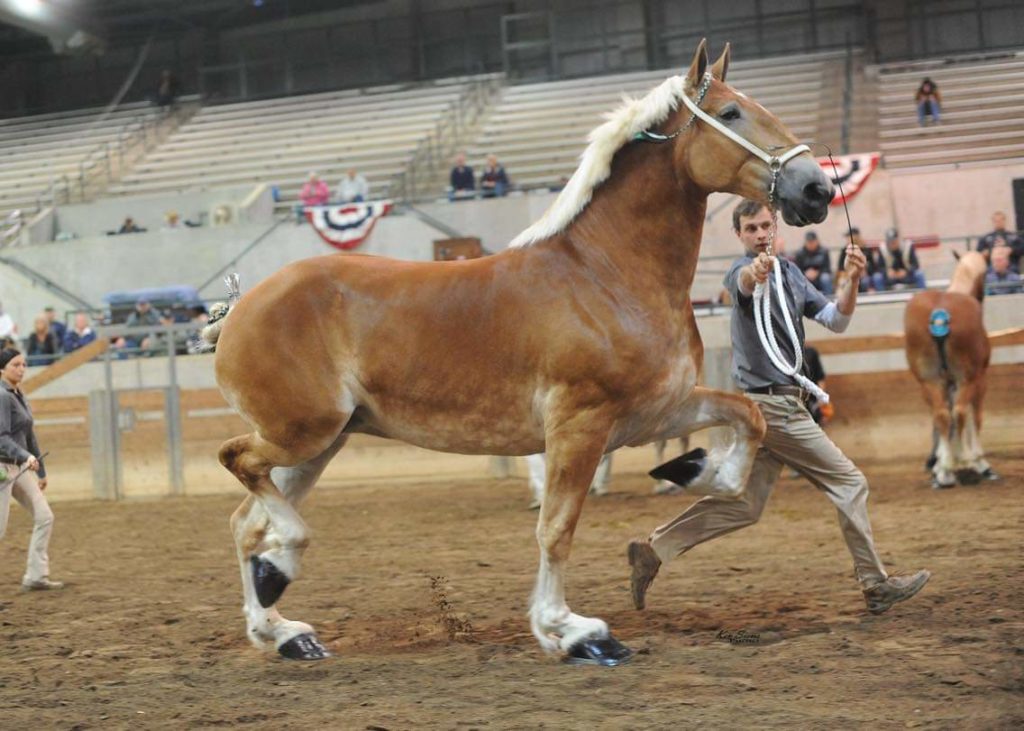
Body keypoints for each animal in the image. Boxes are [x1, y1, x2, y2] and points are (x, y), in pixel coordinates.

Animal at [205, 42, 831, 663]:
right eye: (731, 113)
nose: (816, 188)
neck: (604, 273)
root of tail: (238, 308)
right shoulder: (579, 425)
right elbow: (556, 527)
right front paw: (573, 632)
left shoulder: (655, 412)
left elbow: (745, 421)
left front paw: (693, 469)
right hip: (302, 431)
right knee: (240, 467)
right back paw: (278, 574)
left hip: (322, 441)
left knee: (243, 522)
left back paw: (285, 631)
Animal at [905, 253, 991, 487]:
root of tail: (939, 315)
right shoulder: (978, 379)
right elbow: (973, 415)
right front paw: (978, 461)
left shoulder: (947, 382)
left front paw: (940, 464)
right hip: (966, 379)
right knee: (959, 412)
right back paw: (963, 460)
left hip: (929, 381)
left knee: (941, 414)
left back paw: (945, 470)